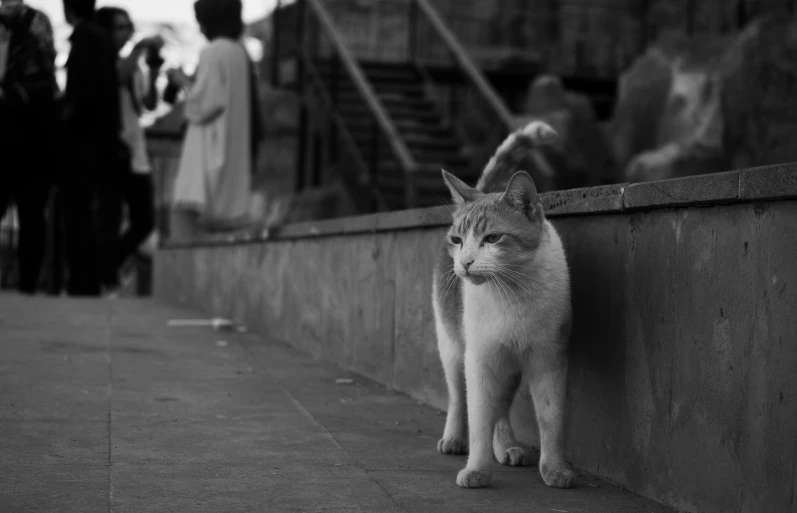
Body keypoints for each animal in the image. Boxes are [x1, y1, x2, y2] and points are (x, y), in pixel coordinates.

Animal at [430, 119, 572, 488]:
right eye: (458, 239)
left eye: (493, 238)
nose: (464, 262)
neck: (512, 295)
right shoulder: (479, 359)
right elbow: (478, 417)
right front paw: (477, 469)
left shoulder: (548, 359)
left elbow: (551, 419)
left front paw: (555, 469)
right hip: (453, 347)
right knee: (457, 396)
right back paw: (454, 439)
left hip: (509, 367)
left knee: (501, 410)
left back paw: (507, 447)